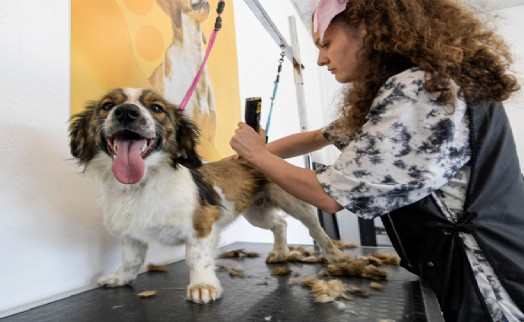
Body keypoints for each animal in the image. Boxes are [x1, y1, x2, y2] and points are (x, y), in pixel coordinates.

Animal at [70, 87, 348, 302]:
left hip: (293, 202)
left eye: (157, 108)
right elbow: (131, 261)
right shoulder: (131, 235)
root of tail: (263, 150)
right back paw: (280, 252)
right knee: (280, 223)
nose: (127, 111)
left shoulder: (202, 225)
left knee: (315, 228)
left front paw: (203, 285)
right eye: (107, 105)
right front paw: (120, 278)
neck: (143, 185)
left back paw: (334, 255)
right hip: (256, 213)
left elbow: (197, 258)